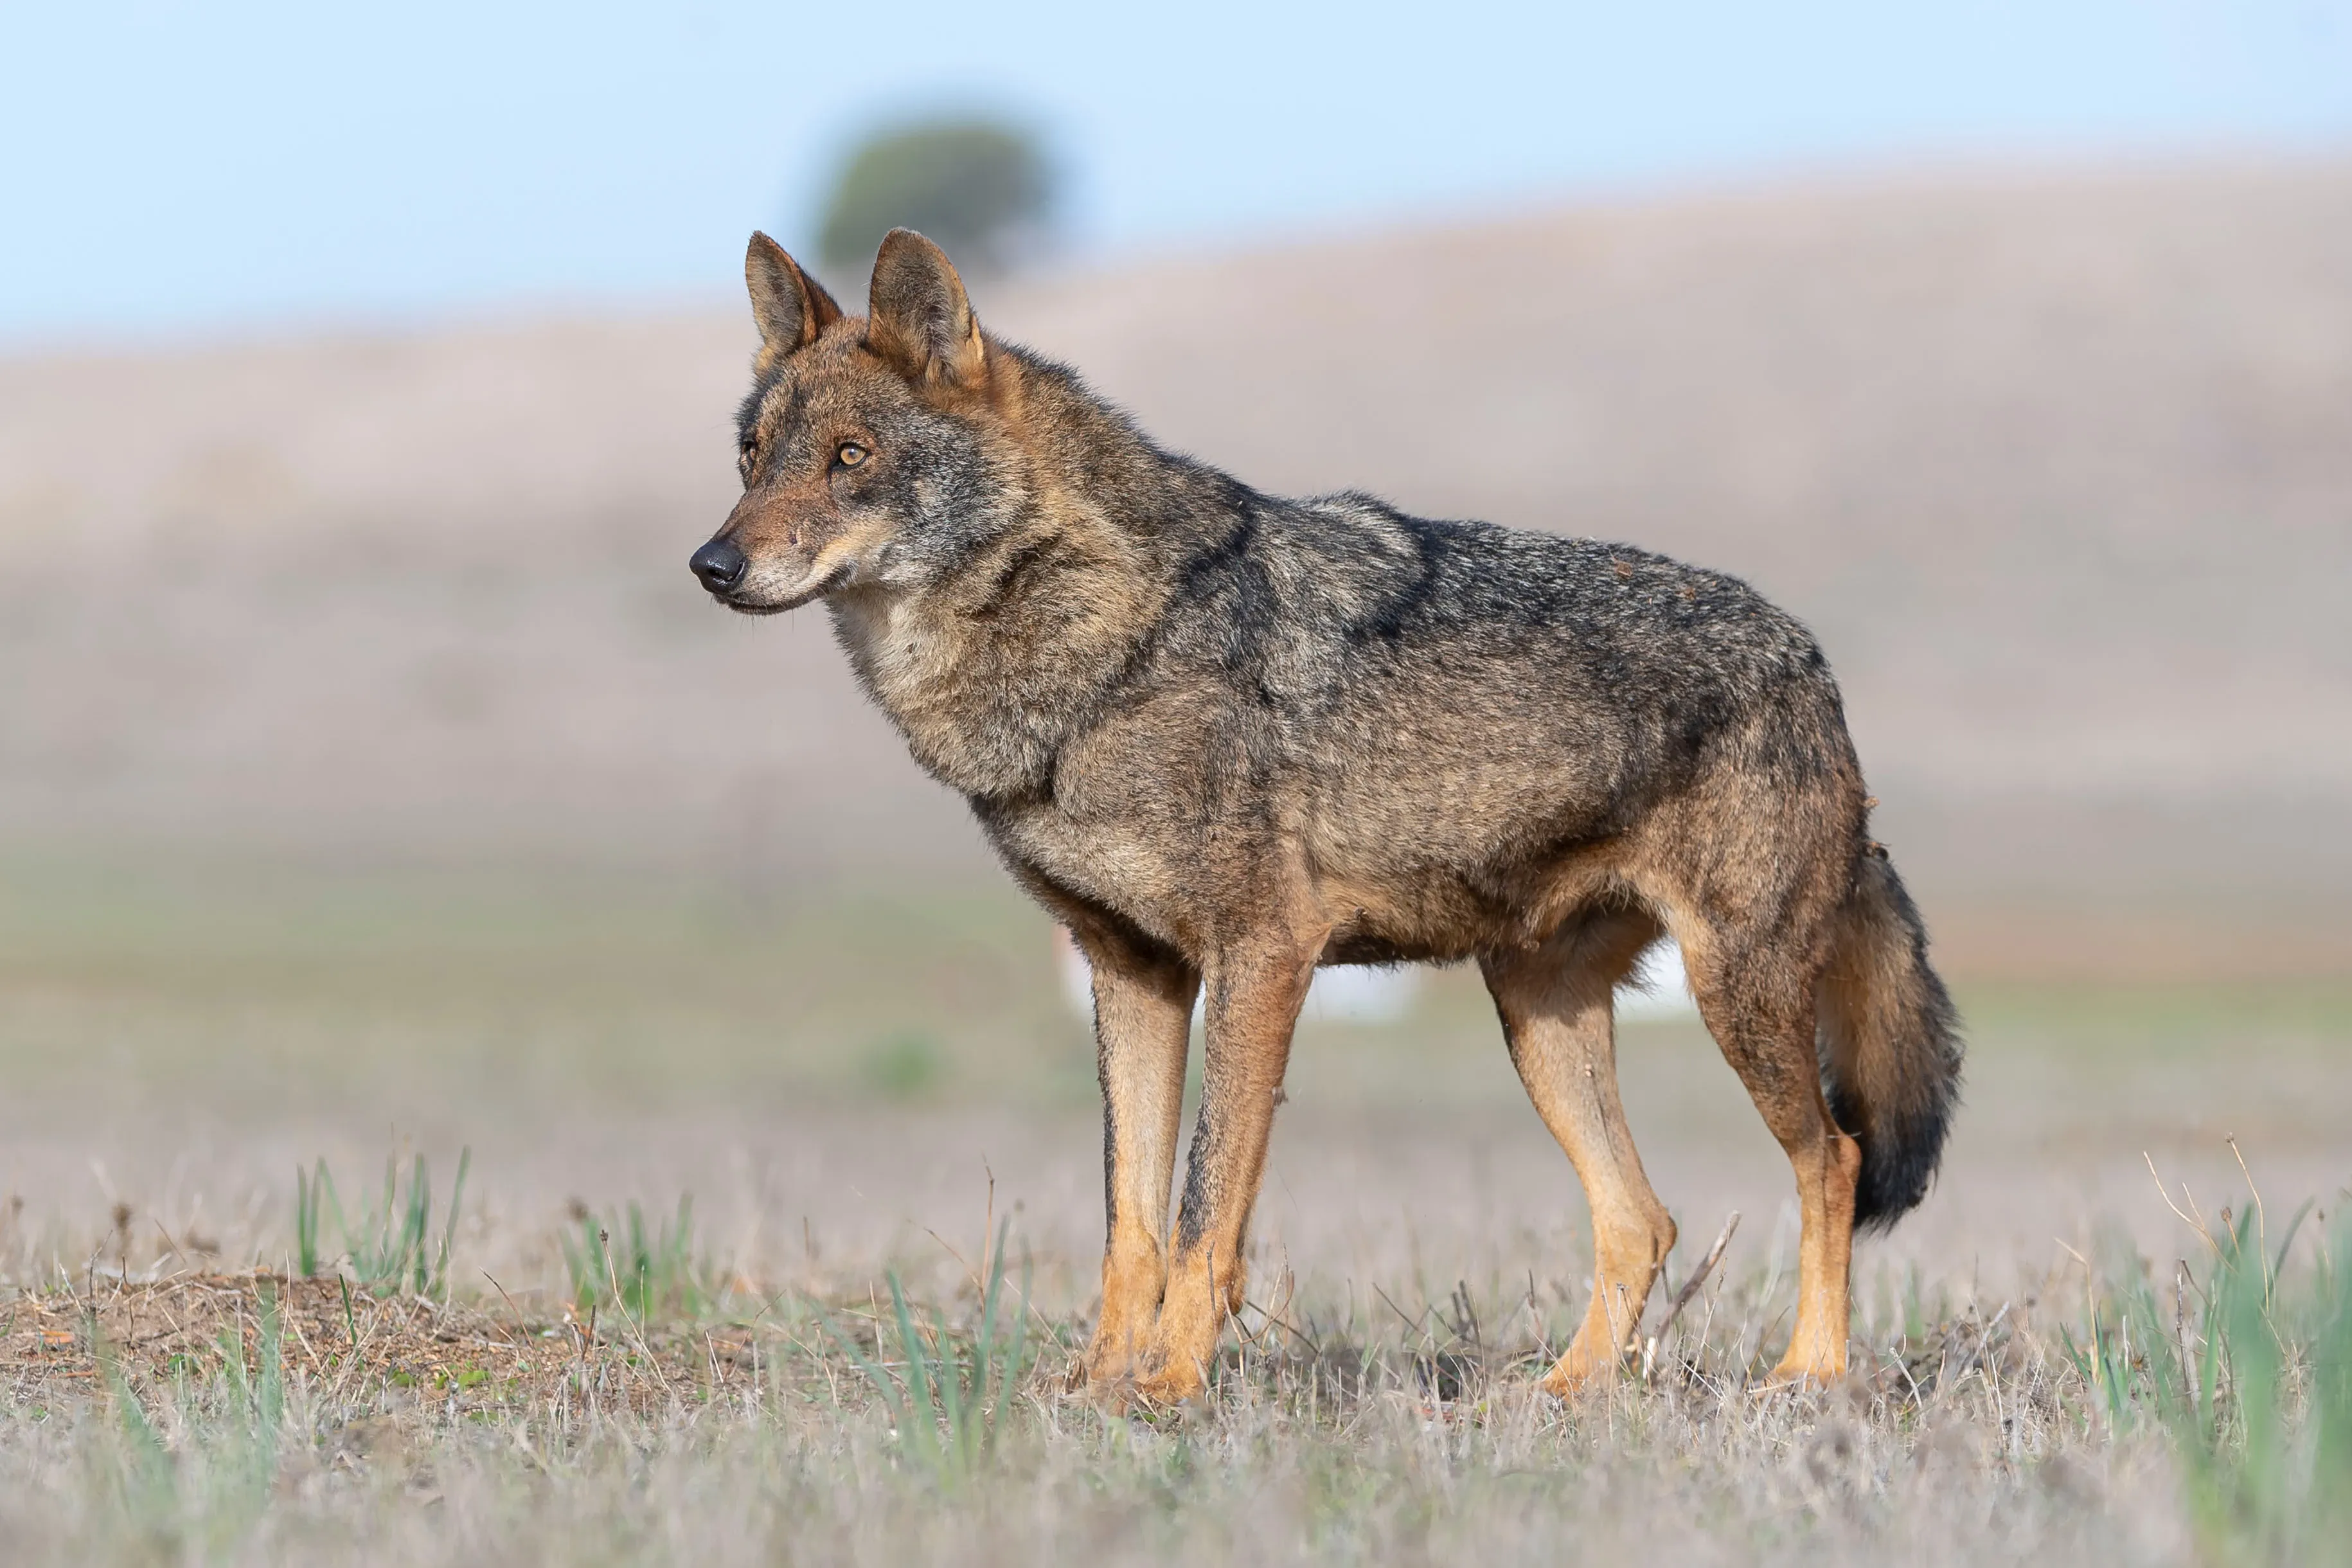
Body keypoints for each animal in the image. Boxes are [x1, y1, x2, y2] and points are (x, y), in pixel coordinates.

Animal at [691, 229, 1963, 1404]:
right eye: (752, 458)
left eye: (850, 458)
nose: (711, 565)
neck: (1100, 642)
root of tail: (1811, 661)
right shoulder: (1130, 968)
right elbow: (1129, 1221)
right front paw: (1097, 1390)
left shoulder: (1262, 957)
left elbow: (1203, 1213)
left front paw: (1172, 1389)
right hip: (1538, 1018)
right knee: (1642, 1217)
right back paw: (1563, 1395)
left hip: (1734, 997)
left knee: (1834, 1161)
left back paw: (1810, 1376)